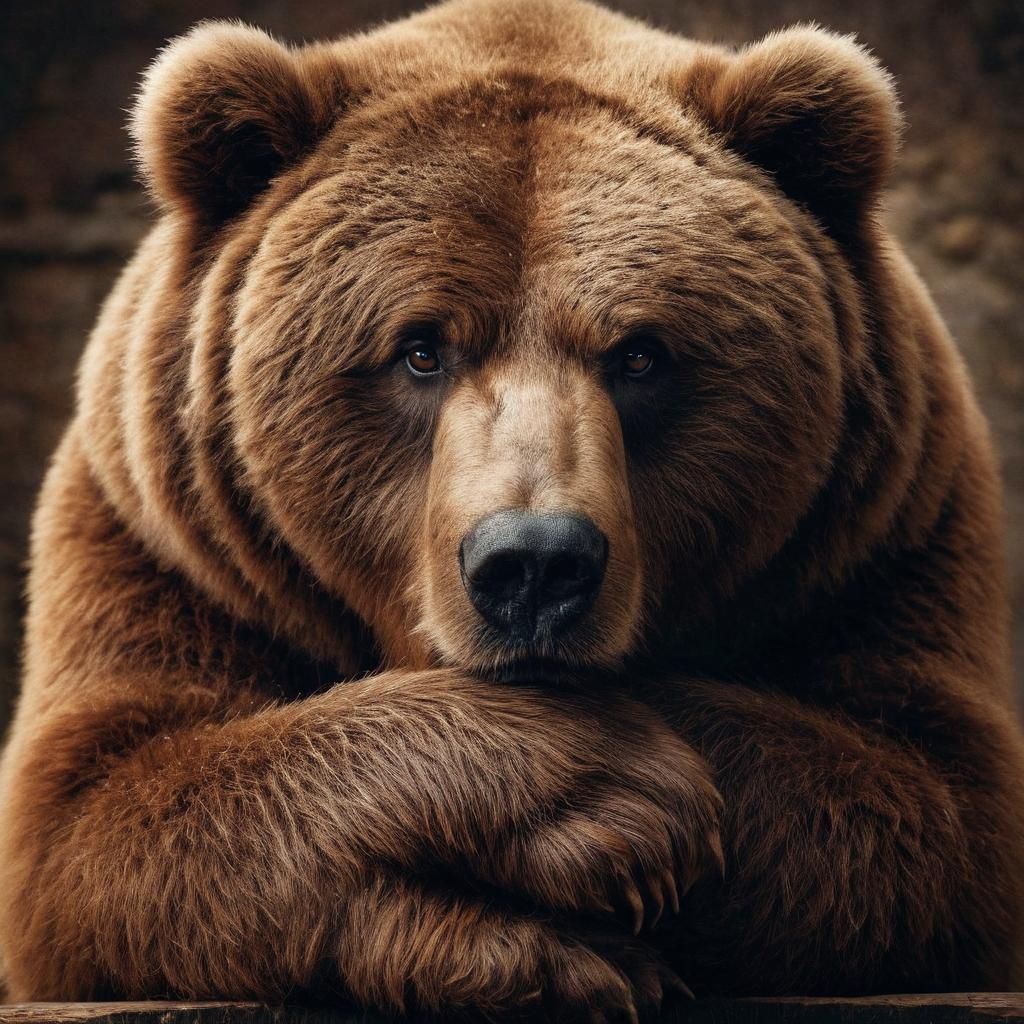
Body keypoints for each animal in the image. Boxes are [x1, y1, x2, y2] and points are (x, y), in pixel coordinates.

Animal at [1, 0, 1023, 1018]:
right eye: (420, 349)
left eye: (640, 354)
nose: (534, 564)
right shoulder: (166, 541)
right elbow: (98, 818)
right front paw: (597, 822)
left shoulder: (889, 532)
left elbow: (934, 805)